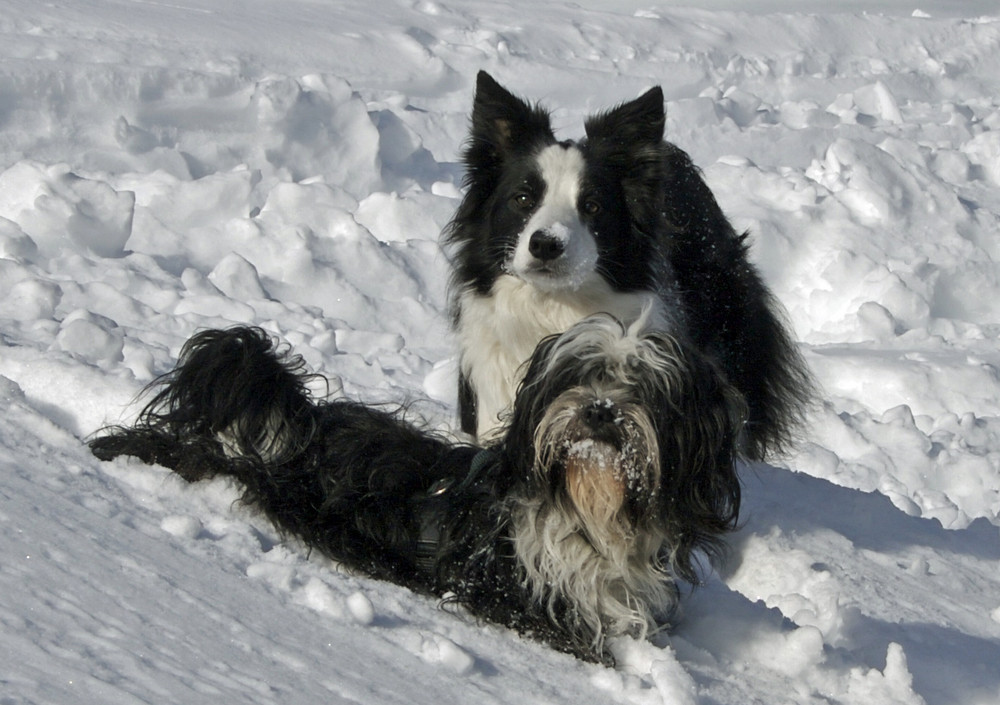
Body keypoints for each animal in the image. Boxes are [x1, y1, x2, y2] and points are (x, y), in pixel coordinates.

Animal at [92, 314, 744, 664]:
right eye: (580, 377)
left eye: (643, 389)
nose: (601, 411)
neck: (590, 513)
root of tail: (302, 429)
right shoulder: (512, 598)